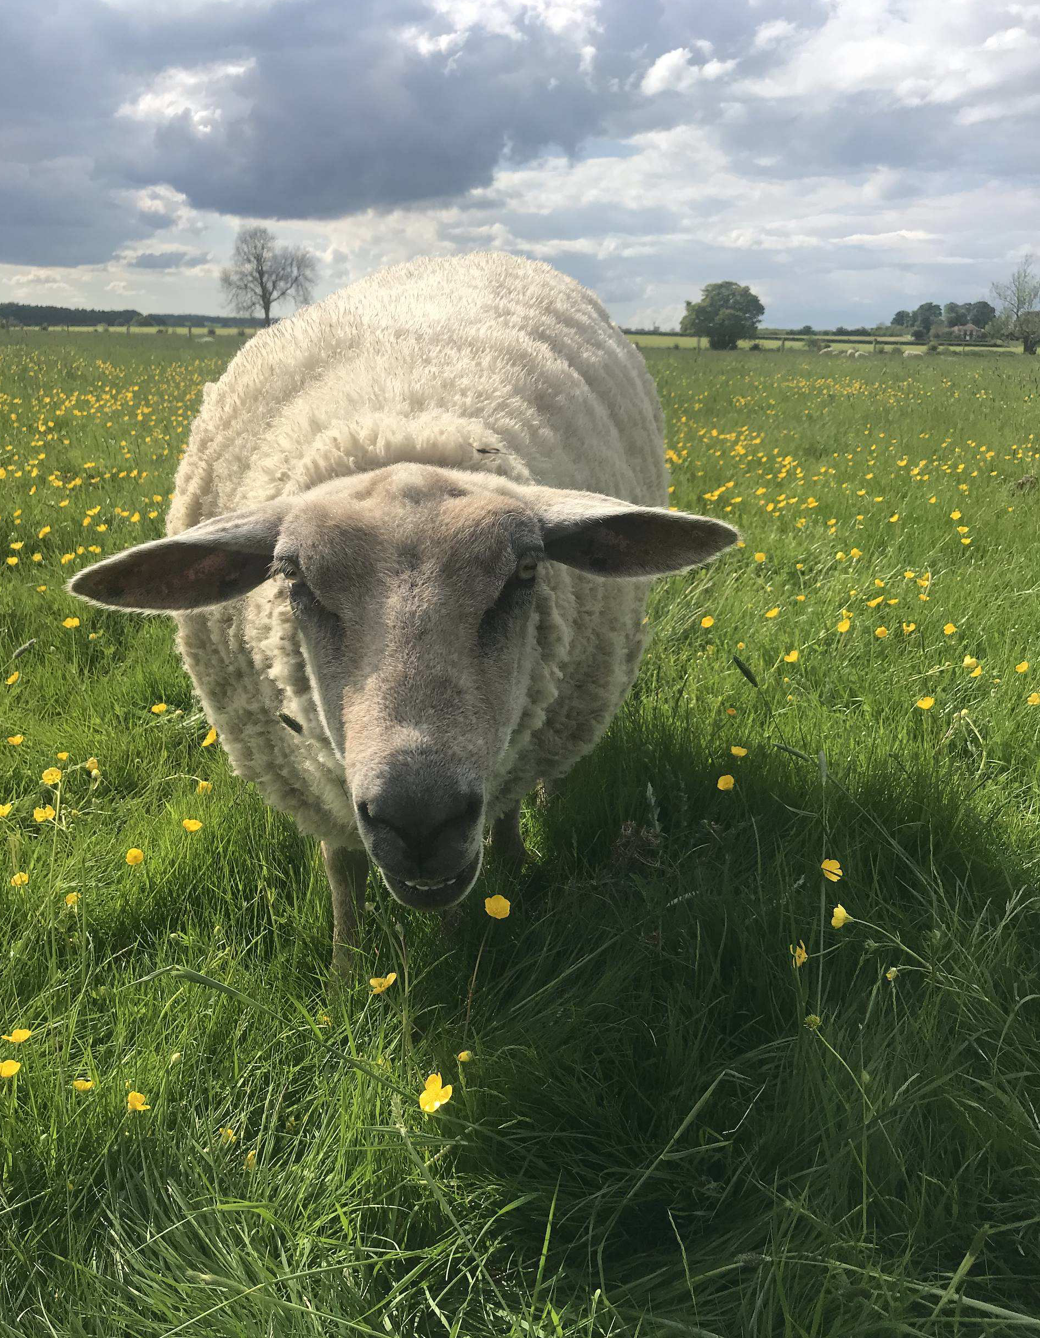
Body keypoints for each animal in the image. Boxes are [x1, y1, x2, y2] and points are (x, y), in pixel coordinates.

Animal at [70, 252, 738, 971]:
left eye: (525, 572)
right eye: (294, 578)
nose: (420, 820)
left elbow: (456, 893)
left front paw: (451, 956)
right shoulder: (320, 787)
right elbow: (342, 875)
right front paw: (345, 971)